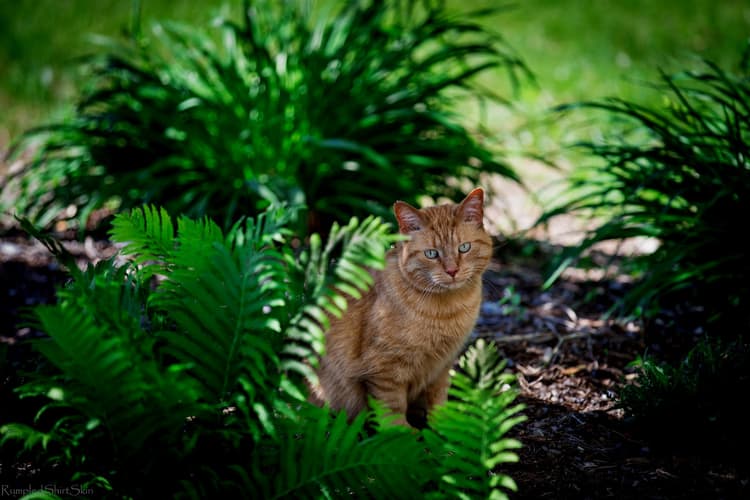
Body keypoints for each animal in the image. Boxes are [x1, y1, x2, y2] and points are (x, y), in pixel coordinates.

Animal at [310, 188, 494, 426]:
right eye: (432, 254)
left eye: (464, 248)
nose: (452, 271)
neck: (447, 310)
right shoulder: (385, 369)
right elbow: (392, 409)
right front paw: (404, 434)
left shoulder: (441, 366)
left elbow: (438, 397)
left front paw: (443, 427)